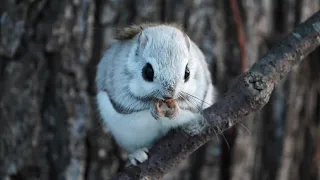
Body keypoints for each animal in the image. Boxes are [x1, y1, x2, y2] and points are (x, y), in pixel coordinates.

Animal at [94, 23, 215, 165]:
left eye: (187, 73)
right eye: (148, 71)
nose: (169, 95)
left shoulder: (201, 84)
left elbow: (191, 103)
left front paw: (176, 109)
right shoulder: (119, 83)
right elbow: (131, 102)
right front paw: (152, 108)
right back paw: (137, 155)